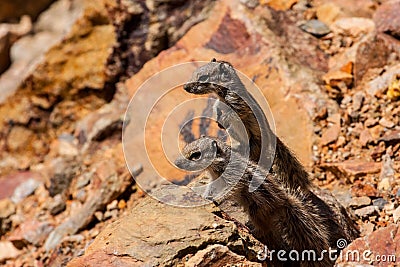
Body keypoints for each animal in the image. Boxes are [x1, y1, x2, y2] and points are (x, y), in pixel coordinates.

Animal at [177, 137, 336, 266]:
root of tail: (285, 203)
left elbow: (228, 192)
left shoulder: (235, 179)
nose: (177, 163)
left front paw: (214, 199)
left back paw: (250, 229)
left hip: (256, 209)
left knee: (265, 229)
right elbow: (210, 188)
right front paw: (202, 194)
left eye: (196, 155)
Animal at [183, 59, 310, 192]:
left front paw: (222, 120)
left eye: (203, 77)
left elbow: (233, 114)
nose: (185, 87)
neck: (222, 94)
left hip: (254, 145)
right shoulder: (220, 102)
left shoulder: (238, 104)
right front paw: (217, 117)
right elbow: (216, 106)